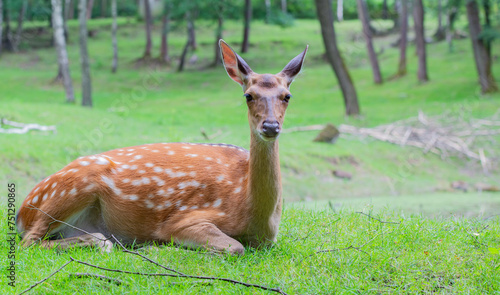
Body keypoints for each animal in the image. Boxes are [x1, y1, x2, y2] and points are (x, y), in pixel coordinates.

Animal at [16, 40, 308, 256]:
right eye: (248, 95)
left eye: (287, 96)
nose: (270, 126)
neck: (252, 214)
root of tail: (21, 212)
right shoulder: (183, 220)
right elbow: (234, 247)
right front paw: (160, 246)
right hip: (72, 188)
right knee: (28, 241)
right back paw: (104, 242)